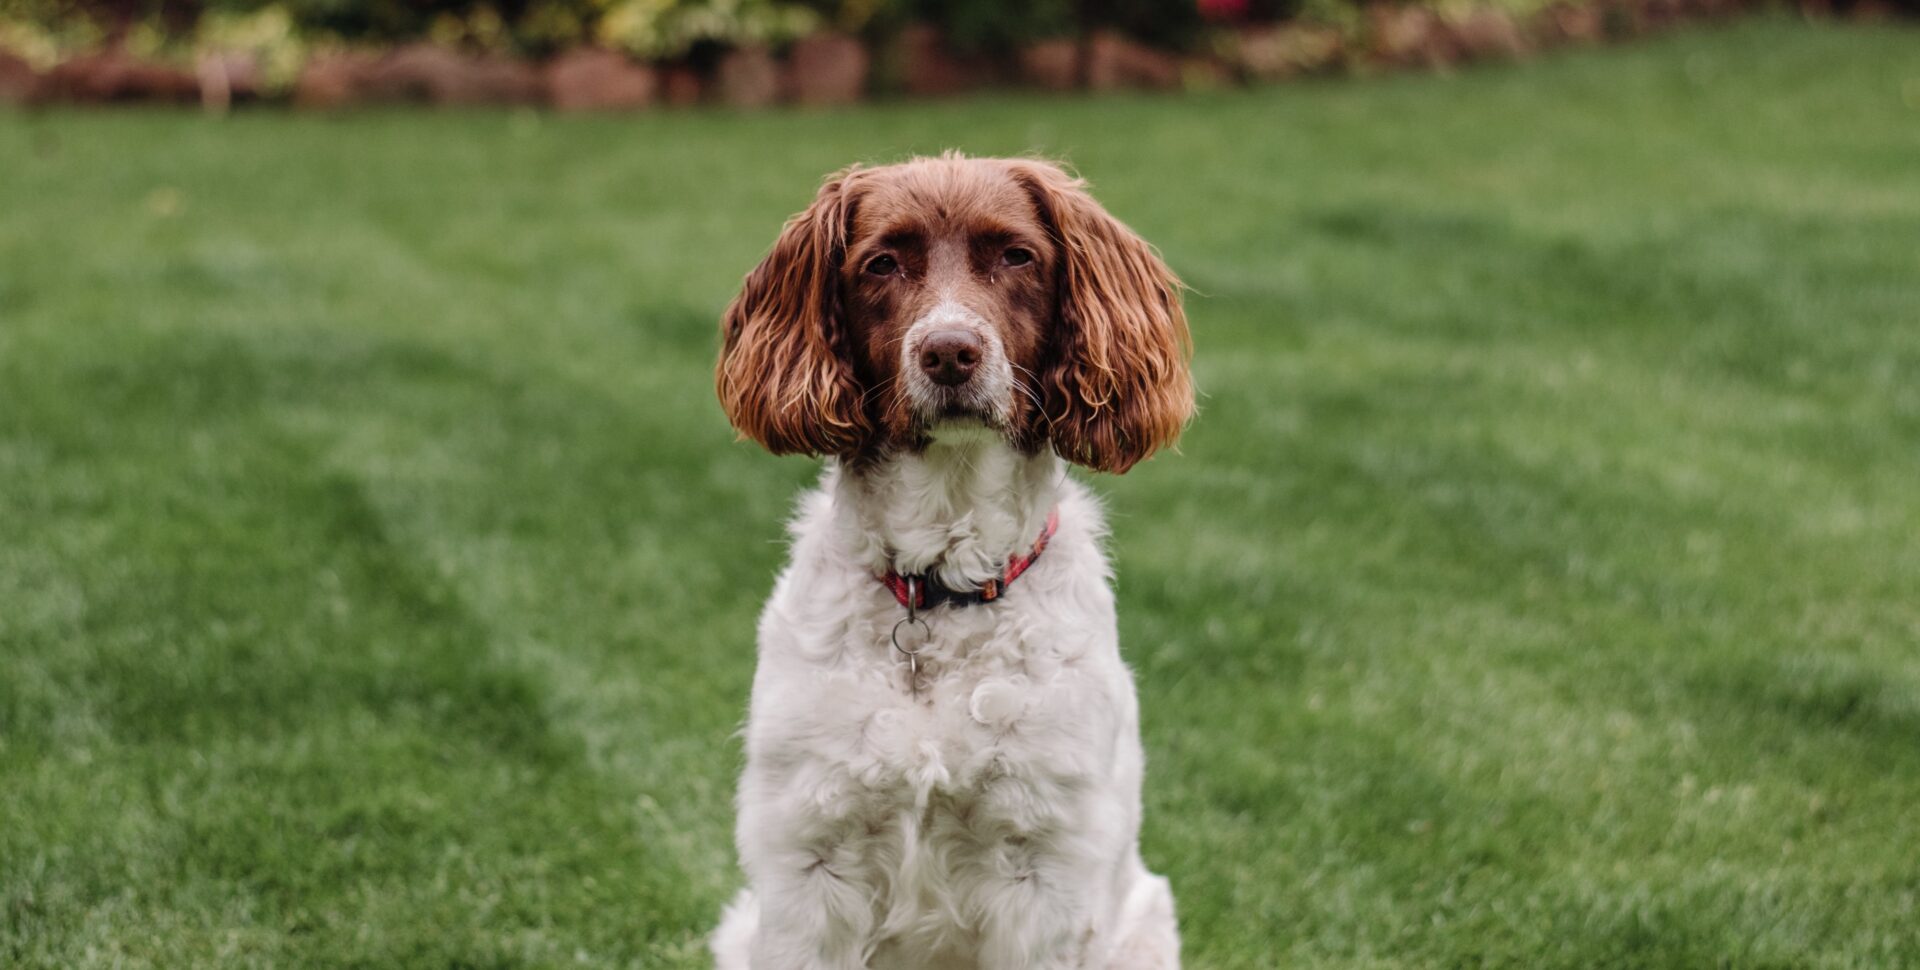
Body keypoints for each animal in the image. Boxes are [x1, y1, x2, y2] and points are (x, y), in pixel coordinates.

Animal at [710, 154, 1182, 964]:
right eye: (882, 263)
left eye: (1018, 256)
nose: (950, 352)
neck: (940, 584)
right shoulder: (809, 858)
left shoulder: (1044, 870)